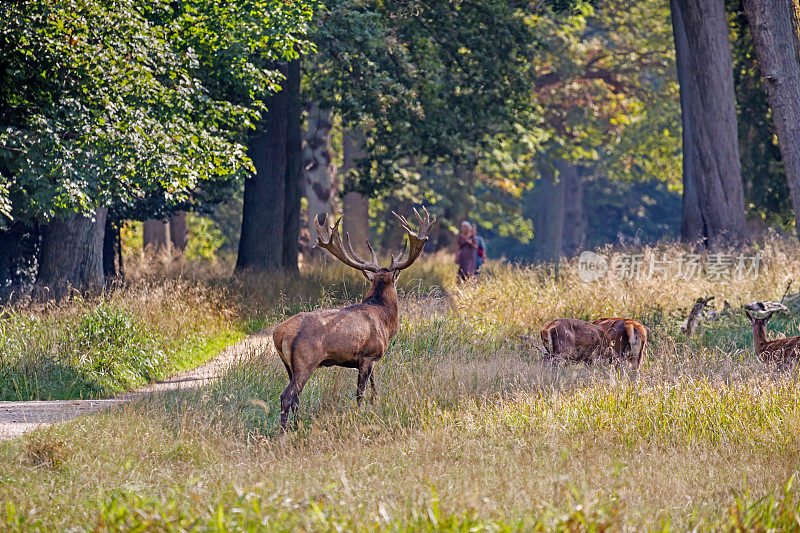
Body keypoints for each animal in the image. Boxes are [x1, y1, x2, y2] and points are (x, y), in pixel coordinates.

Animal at [272, 207, 434, 428]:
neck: (385, 320)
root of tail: (279, 333)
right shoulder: (368, 354)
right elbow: (360, 392)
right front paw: (360, 414)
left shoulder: (370, 360)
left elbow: (374, 387)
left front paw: (374, 406)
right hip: (305, 361)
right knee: (286, 396)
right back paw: (284, 431)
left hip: (288, 365)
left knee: (296, 398)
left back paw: (297, 426)